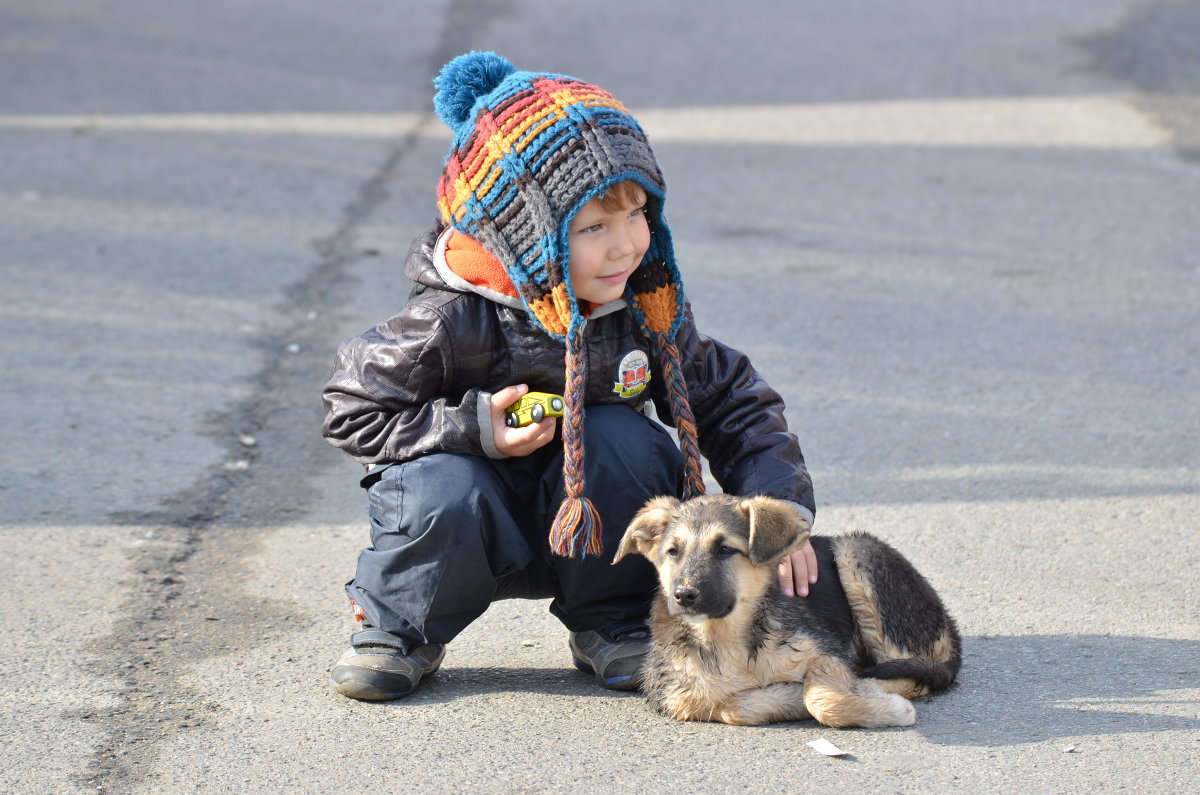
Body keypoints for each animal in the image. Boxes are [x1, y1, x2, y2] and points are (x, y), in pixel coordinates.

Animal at [614, 494, 960, 730]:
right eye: (673, 552)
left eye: (725, 550)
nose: (684, 595)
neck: (730, 639)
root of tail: (950, 625)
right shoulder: (673, 693)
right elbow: (732, 707)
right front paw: (786, 697)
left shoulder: (827, 652)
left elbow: (821, 698)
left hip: (855, 552)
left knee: (918, 670)